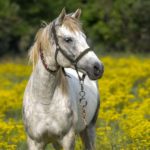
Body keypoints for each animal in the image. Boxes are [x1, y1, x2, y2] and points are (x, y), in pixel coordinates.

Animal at [22, 8, 103, 150]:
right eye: (68, 39)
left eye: (84, 37)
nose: (98, 67)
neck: (45, 101)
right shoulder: (34, 142)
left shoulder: (67, 140)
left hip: (89, 129)